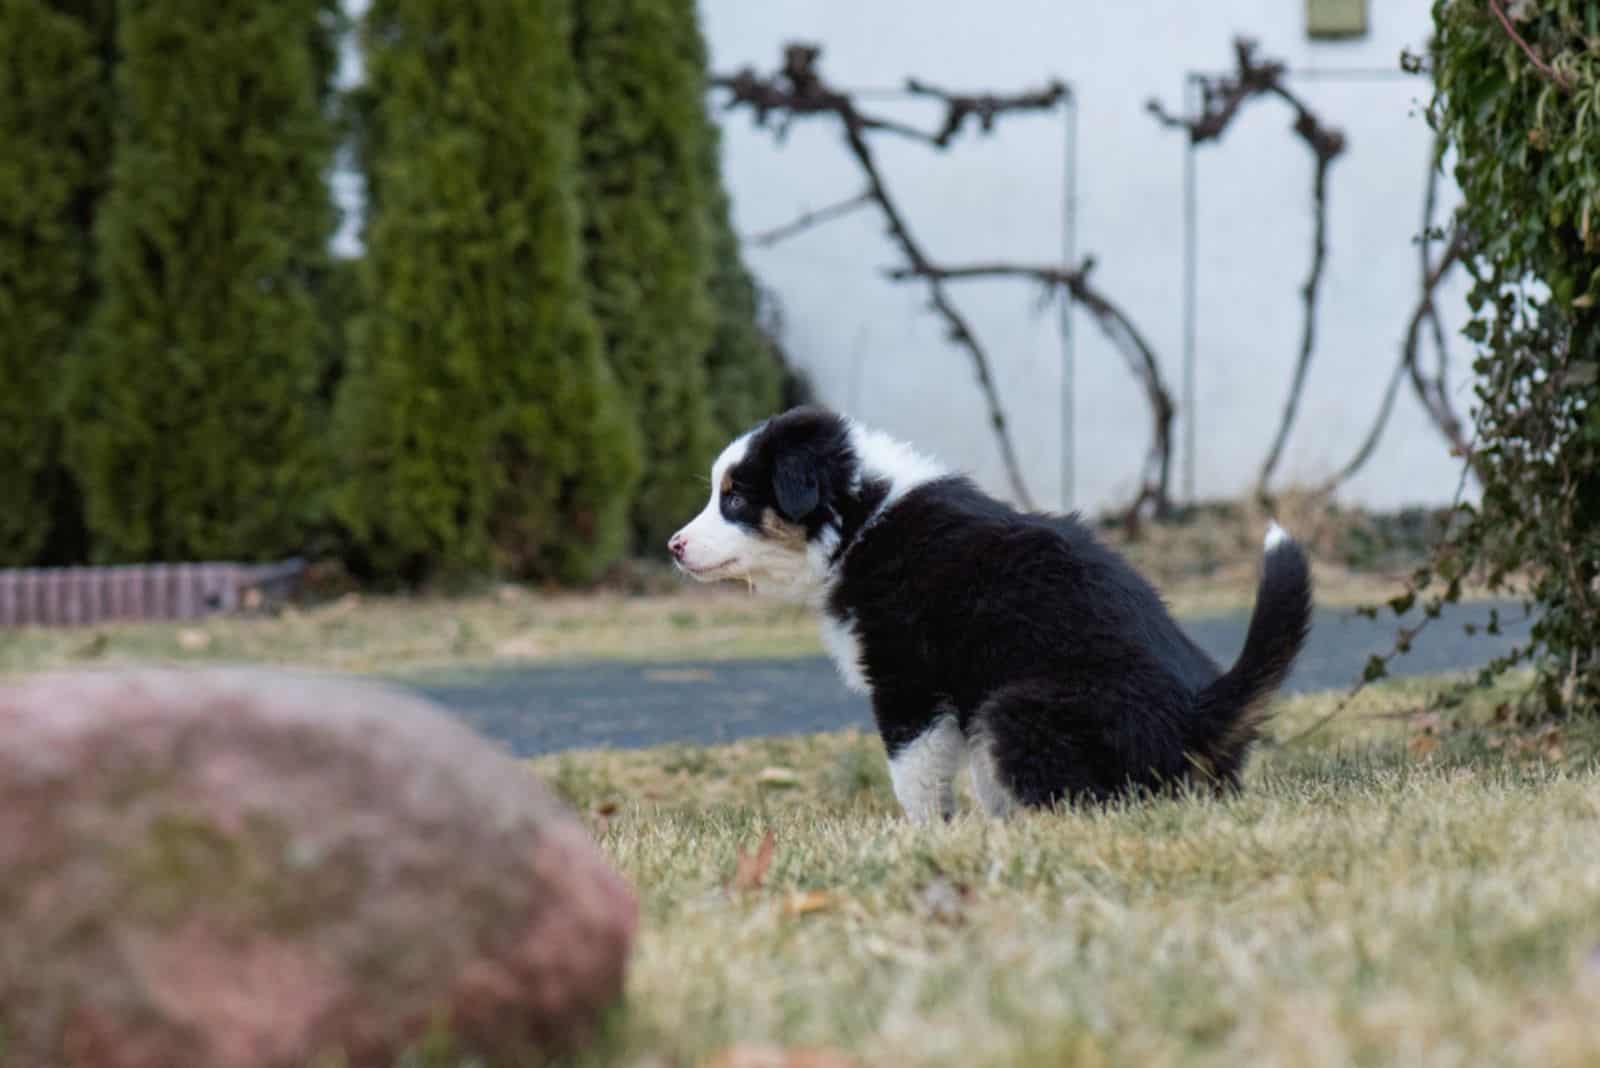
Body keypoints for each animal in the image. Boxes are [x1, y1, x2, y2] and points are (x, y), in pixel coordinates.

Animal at [668, 406, 1305, 818]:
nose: (674, 545)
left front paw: (925, 837)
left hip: (1015, 708)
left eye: (735, 498)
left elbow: (916, 776)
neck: (862, 520)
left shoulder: (910, 683)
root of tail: (1201, 711)